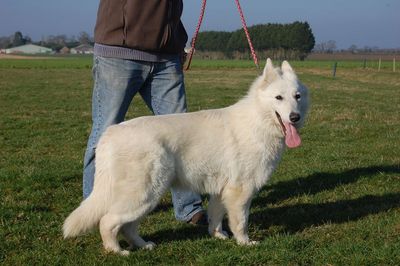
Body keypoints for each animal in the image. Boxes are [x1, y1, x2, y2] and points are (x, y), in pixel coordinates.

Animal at [62, 59, 310, 255]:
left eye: (297, 96)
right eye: (278, 98)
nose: (294, 117)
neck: (257, 121)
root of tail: (110, 134)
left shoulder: (221, 191)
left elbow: (216, 218)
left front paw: (218, 236)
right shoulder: (241, 192)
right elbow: (241, 222)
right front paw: (244, 243)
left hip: (148, 198)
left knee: (127, 227)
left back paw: (143, 245)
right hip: (144, 195)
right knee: (108, 222)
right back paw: (116, 251)